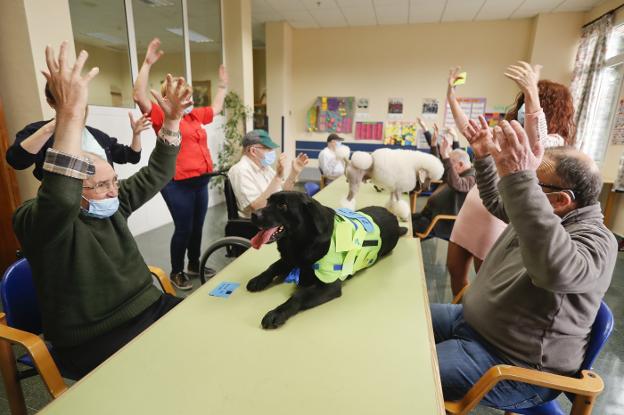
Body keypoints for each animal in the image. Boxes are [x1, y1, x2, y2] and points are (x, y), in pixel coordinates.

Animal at [246, 192, 408, 332]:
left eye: (282, 205)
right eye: (267, 202)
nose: (253, 215)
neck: (302, 243)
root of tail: (394, 217)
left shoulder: (329, 285)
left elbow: (299, 296)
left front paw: (277, 312)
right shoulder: (290, 259)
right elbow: (273, 266)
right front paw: (258, 279)